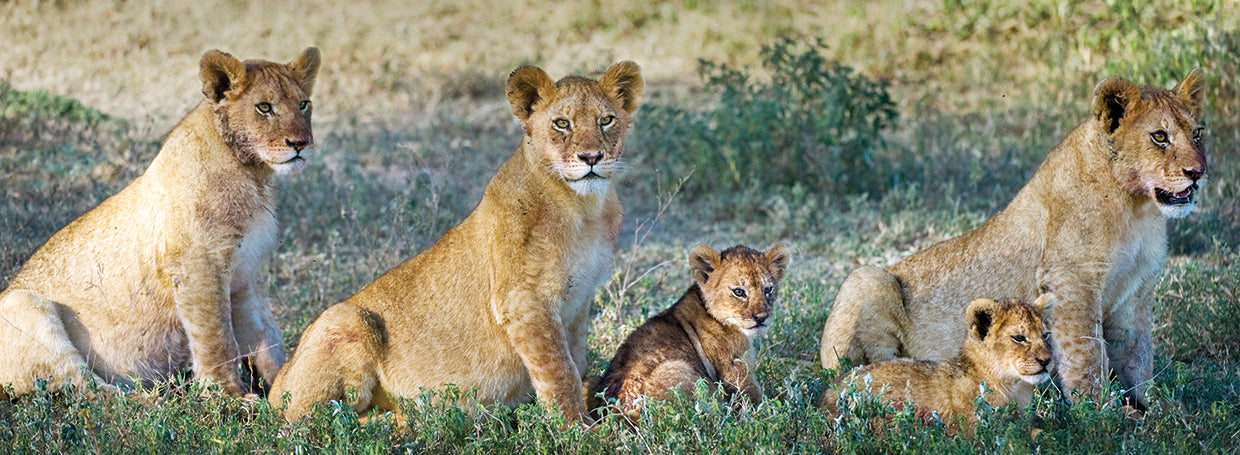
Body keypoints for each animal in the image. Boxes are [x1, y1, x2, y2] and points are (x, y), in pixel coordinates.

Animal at [0, 47, 320, 398]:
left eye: (303, 104)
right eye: (264, 107)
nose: (301, 143)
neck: (253, 174)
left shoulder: (247, 274)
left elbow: (266, 336)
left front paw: (285, 387)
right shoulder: (199, 267)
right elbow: (217, 337)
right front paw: (228, 395)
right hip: (22, 303)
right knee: (85, 387)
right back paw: (150, 398)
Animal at [268, 61, 644, 424]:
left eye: (606, 120)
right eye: (562, 124)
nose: (591, 158)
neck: (583, 208)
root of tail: (274, 389)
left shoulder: (580, 300)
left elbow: (576, 360)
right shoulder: (525, 301)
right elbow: (559, 372)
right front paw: (579, 429)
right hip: (348, 319)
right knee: (314, 420)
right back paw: (409, 418)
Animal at [587, 244, 790, 419]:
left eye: (768, 290)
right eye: (739, 292)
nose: (761, 317)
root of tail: (616, 417)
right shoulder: (735, 372)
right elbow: (763, 400)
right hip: (677, 369)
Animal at [820, 69, 1207, 413]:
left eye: (1198, 134)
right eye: (1160, 137)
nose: (1198, 173)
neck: (1137, 207)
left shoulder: (1136, 290)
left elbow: (1137, 354)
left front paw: (1152, 408)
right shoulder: (1073, 283)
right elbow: (1086, 355)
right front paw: (1100, 413)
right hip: (867, 278)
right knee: (860, 368)